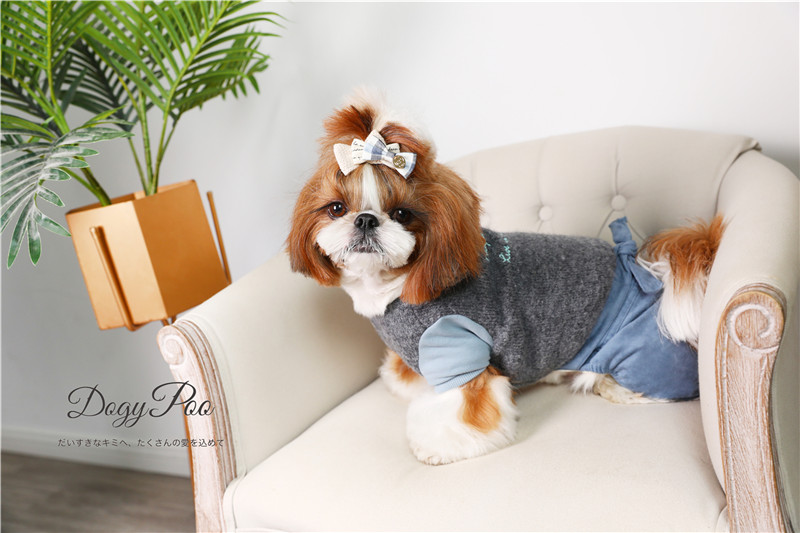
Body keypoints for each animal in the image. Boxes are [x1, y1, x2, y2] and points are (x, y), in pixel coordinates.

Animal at [287, 90, 724, 465]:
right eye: (336, 207)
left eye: (401, 213)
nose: (364, 219)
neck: (399, 287)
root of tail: (658, 280)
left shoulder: (459, 350)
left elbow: (462, 412)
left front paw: (432, 446)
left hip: (636, 356)